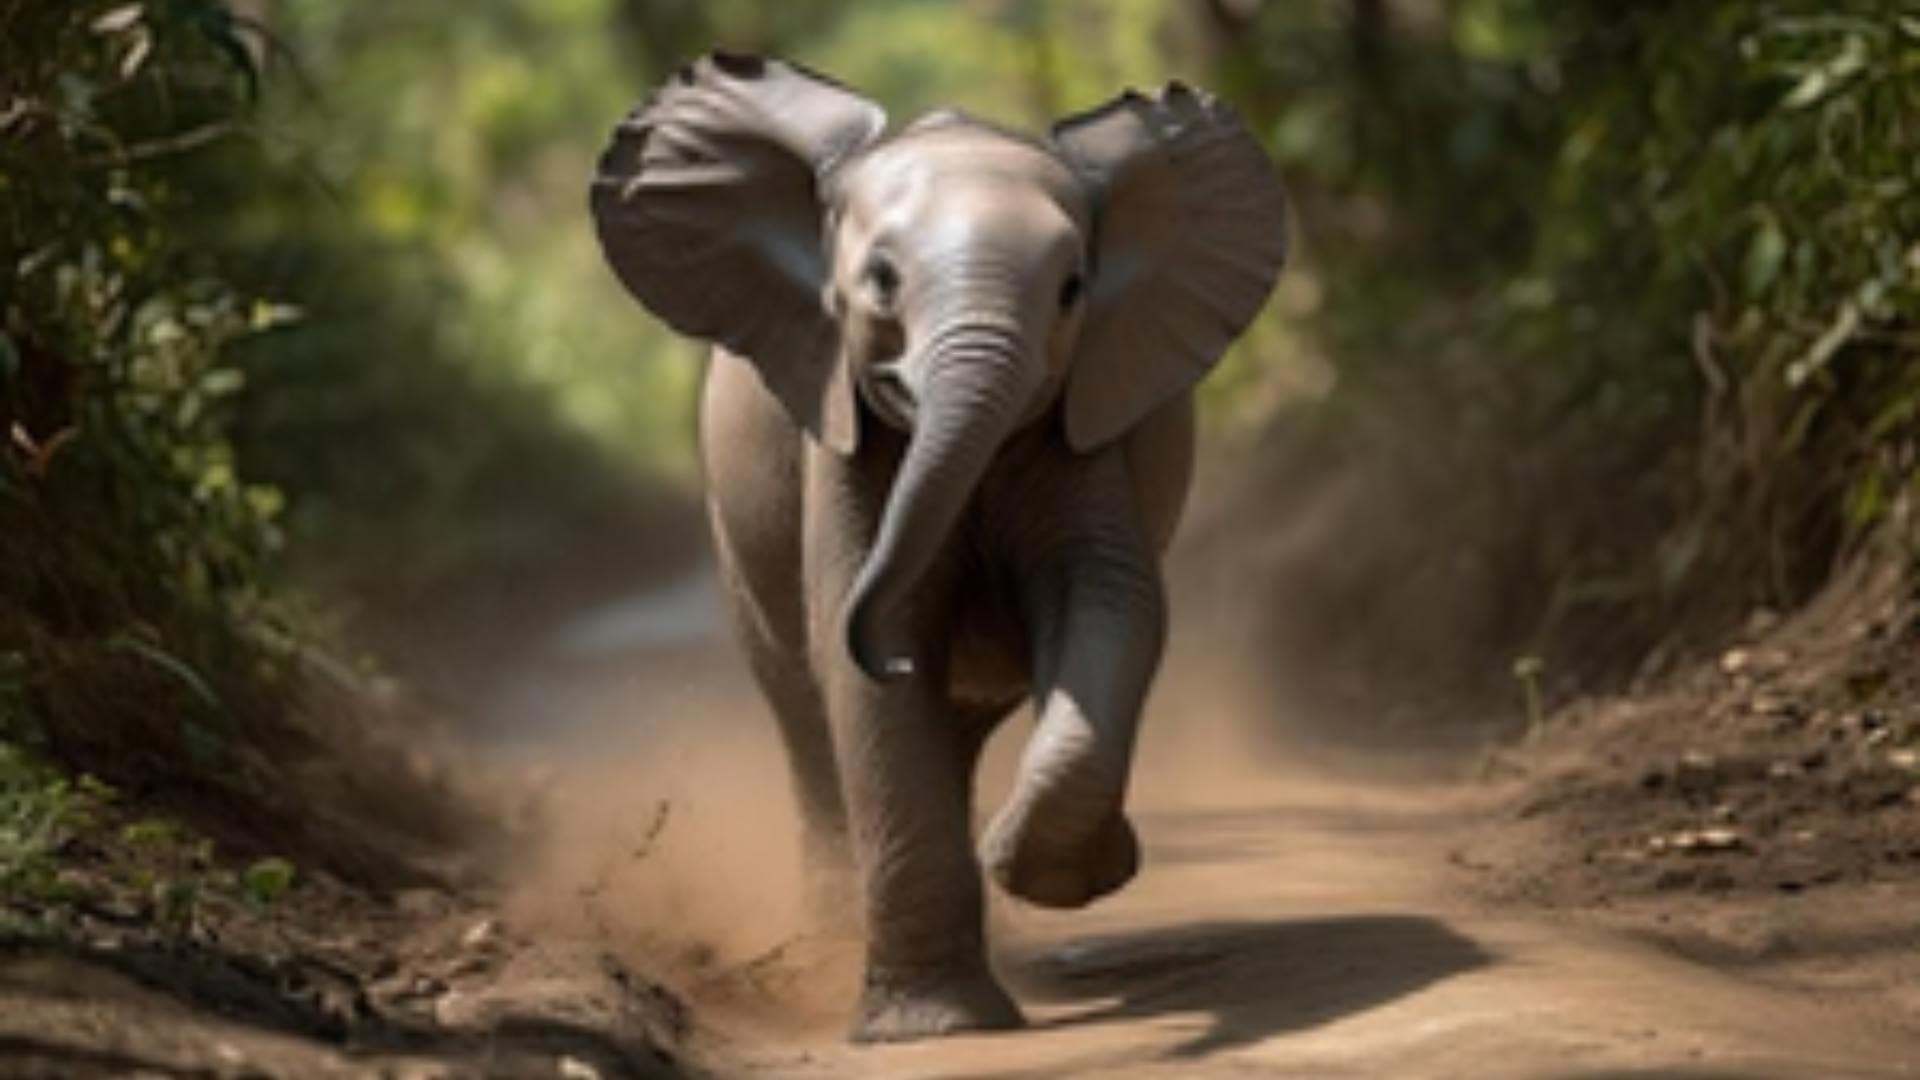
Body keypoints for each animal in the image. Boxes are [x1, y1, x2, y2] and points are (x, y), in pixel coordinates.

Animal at [590, 52, 1287, 1042]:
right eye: (881, 280)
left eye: (1073, 290)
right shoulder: (842, 435)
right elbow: (872, 665)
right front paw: (937, 1027)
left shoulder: (1084, 423)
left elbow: (1111, 598)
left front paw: (1046, 868)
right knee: (804, 710)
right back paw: (832, 941)